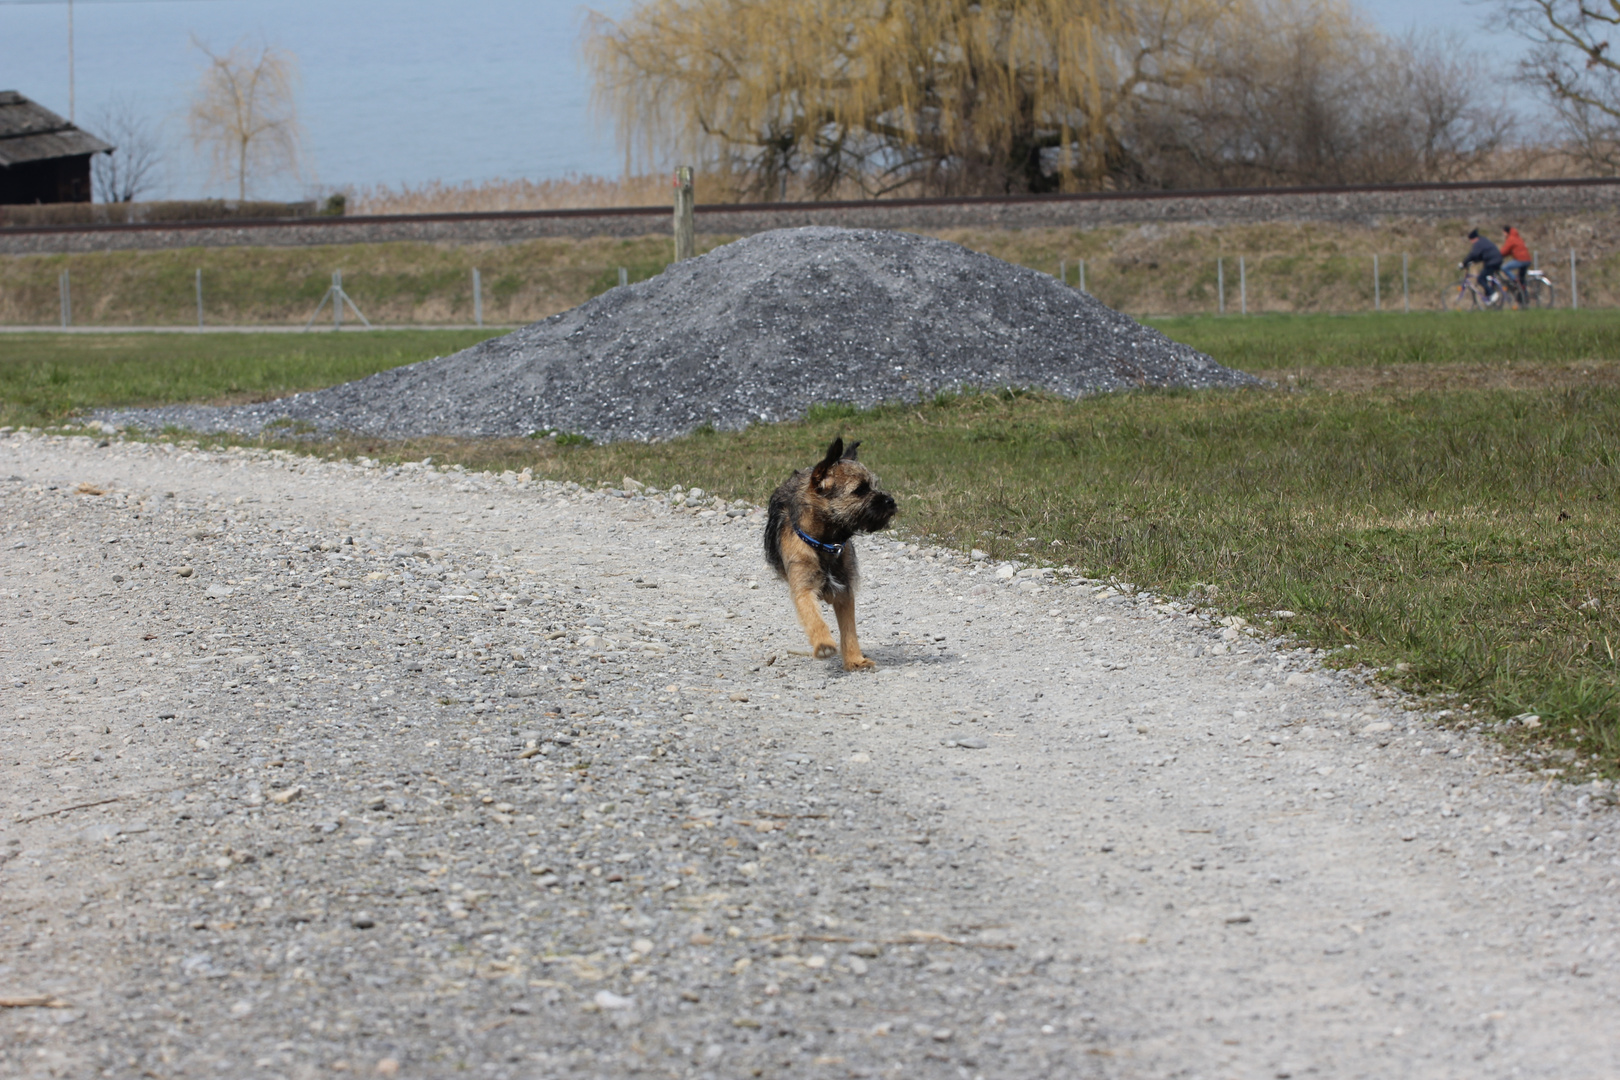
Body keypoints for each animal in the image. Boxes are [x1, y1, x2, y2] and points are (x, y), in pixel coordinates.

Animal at [761, 437, 900, 667]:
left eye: (874, 485)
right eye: (860, 490)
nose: (890, 501)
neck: (826, 543)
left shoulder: (845, 592)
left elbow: (849, 629)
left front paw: (855, 659)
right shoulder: (804, 590)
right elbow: (813, 617)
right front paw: (823, 644)